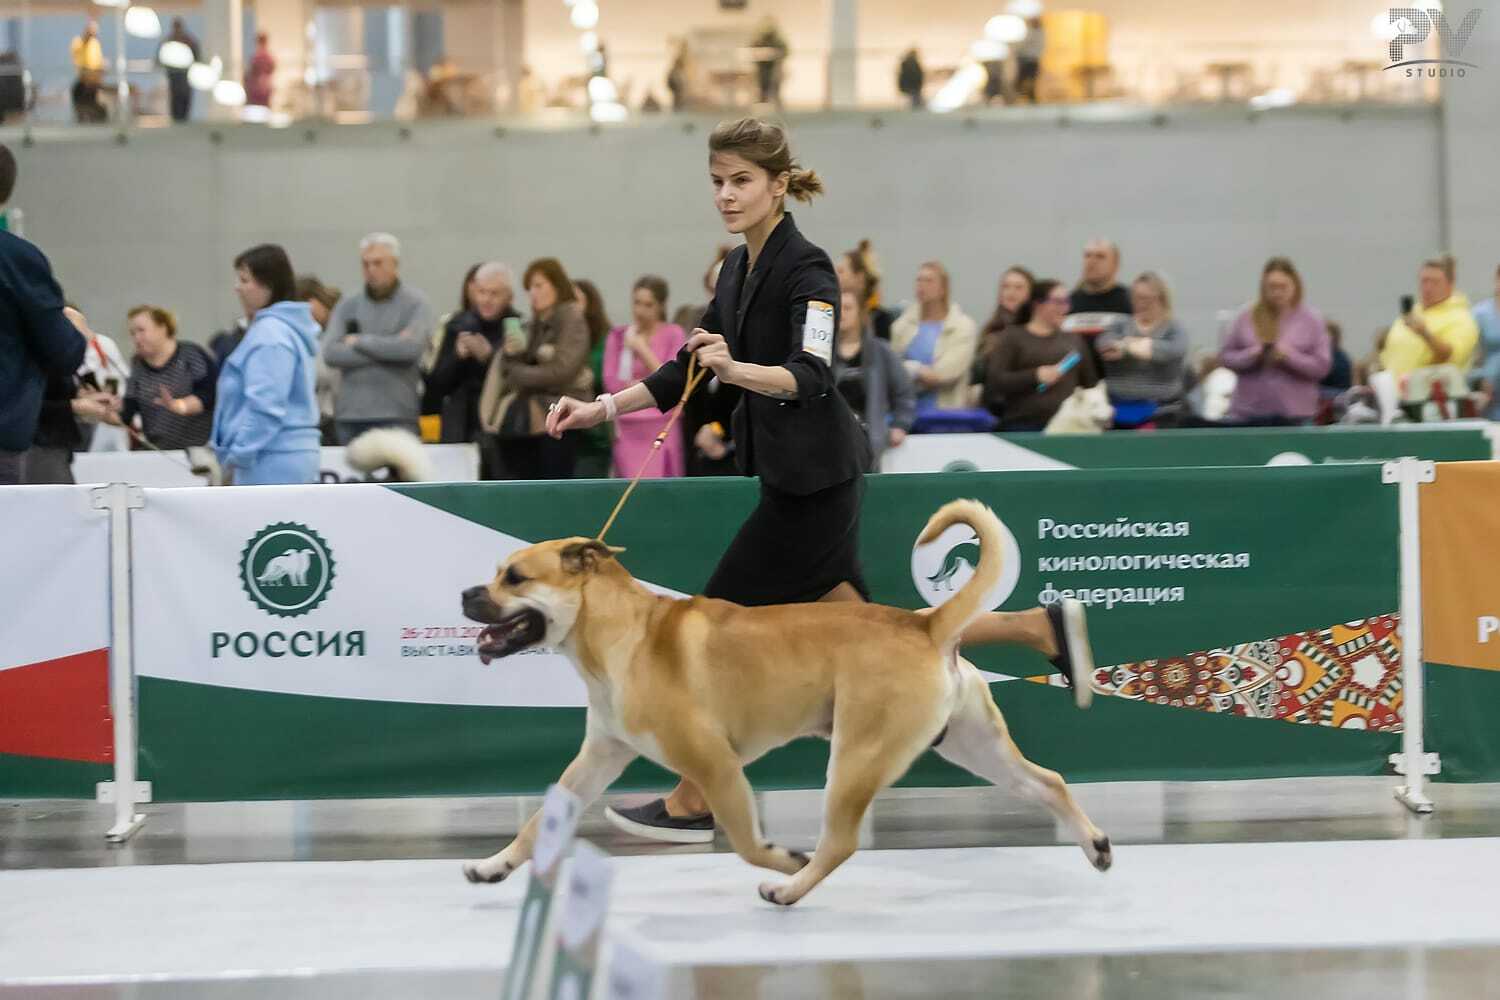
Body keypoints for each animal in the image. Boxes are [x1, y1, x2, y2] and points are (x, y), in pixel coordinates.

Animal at [459, 500, 1116, 905]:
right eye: (496, 572)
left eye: (515, 577)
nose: (467, 593)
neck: (622, 633)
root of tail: (926, 625)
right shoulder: (598, 758)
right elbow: (540, 822)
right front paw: (495, 866)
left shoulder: (716, 766)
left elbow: (749, 844)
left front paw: (783, 859)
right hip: (974, 747)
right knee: (1048, 782)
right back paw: (1097, 846)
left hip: (856, 758)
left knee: (840, 843)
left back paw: (791, 890)